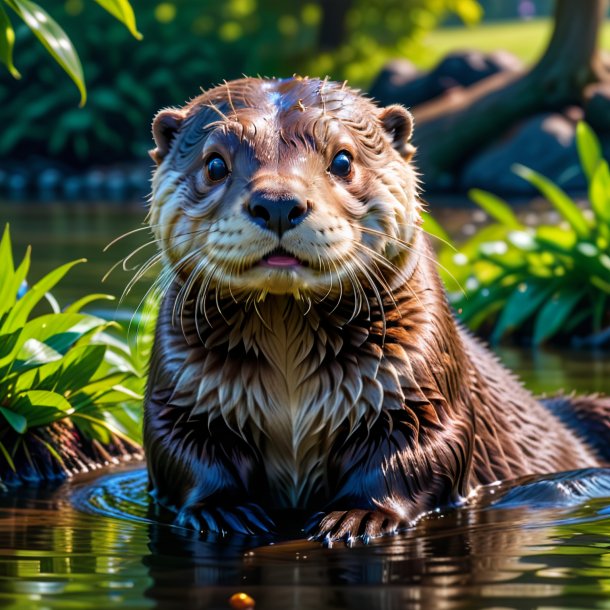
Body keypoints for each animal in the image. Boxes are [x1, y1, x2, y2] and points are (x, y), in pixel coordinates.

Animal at [144, 77, 608, 540]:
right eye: (215, 165)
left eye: (343, 160)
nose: (278, 202)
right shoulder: (181, 393)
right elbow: (176, 447)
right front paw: (222, 511)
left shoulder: (422, 385)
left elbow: (420, 449)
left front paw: (358, 516)